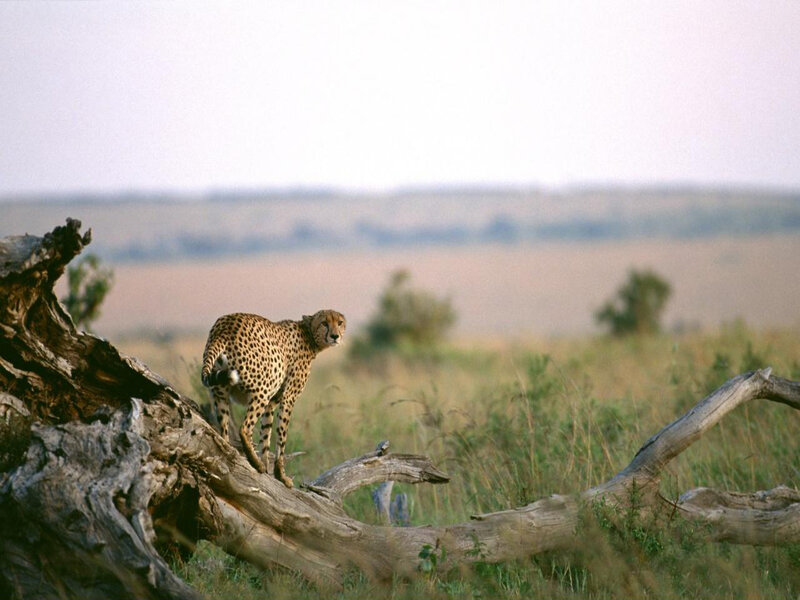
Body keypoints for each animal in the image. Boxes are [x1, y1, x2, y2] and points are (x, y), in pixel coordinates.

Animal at [201, 309, 346, 488]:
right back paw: (256, 463)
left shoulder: (271, 403)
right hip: (261, 391)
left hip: (220, 394)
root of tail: (225, 325)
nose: (335, 336)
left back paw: (232, 454)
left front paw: (269, 470)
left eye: (339, 322)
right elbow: (281, 438)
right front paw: (280, 475)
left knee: (223, 432)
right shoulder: (288, 398)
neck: (309, 335)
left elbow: (266, 435)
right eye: (324, 323)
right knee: (244, 428)